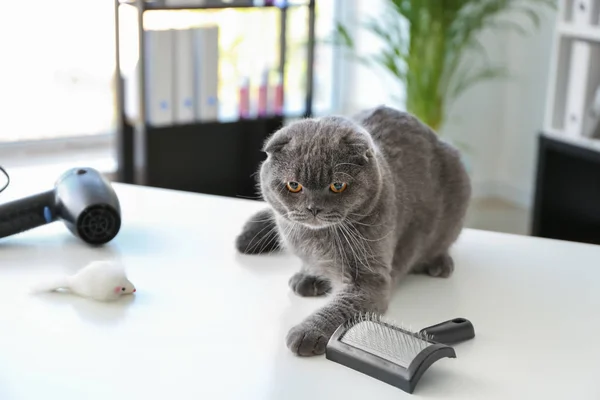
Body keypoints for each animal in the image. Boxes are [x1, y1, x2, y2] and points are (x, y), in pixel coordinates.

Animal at [232, 105, 472, 356]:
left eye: (338, 186)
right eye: (294, 186)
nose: (313, 208)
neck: (316, 239)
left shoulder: (370, 280)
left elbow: (341, 308)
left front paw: (307, 332)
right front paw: (308, 275)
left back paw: (440, 264)